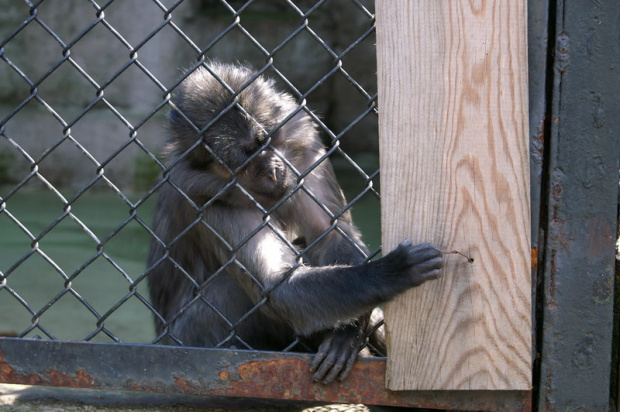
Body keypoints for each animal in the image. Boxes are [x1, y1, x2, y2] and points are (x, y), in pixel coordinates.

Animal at [147, 60, 444, 384]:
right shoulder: (208, 200)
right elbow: (275, 285)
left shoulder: (304, 151)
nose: (272, 171)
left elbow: (330, 234)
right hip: (195, 335)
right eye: (244, 162)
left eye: (262, 142)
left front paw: (348, 333)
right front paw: (391, 273)